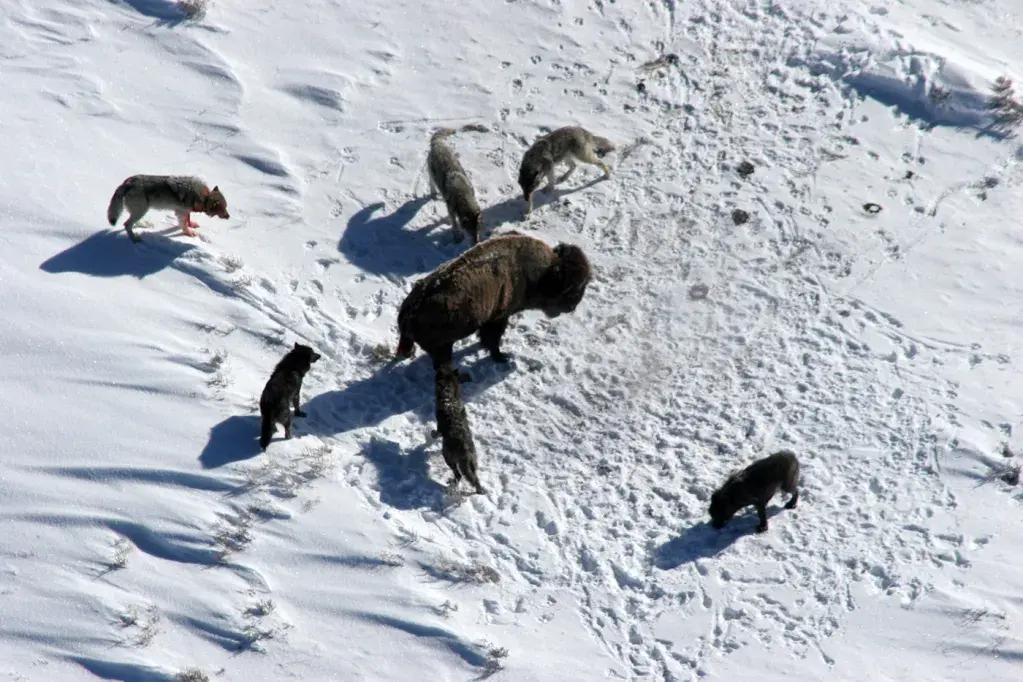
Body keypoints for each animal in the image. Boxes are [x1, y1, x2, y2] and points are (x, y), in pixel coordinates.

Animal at [394, 233, 592, 371]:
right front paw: (502, 357)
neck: (541, 275)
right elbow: (493, 340)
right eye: (573, 289)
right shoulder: (498, 318)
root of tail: (410, 310)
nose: (573, 307)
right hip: (442, 348)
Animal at [430, 363, 485, 494]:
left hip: (448, 456)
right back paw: (479, 490)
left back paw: (453, 482)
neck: (448, 396)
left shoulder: (440, 426)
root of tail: (464, 448)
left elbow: (437, 433)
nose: (440, 366)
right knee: (474, 478)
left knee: (458, 474)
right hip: (472, 462)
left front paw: (432, 434)